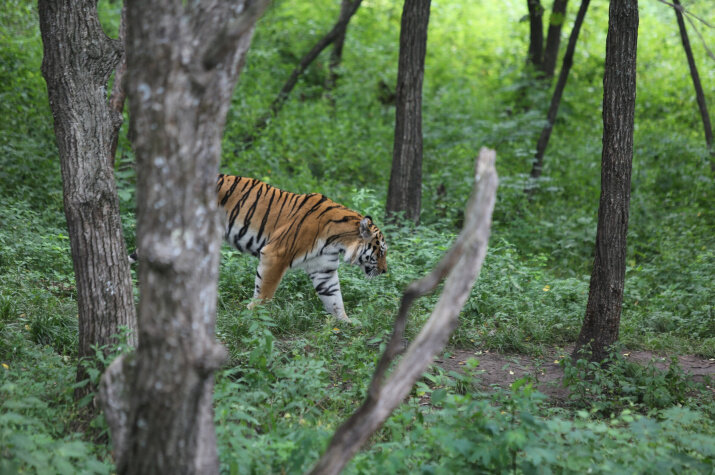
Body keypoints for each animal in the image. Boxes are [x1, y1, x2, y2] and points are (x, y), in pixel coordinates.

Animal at [131, 175, 388, 324]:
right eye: (381, 251)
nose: (385, 271)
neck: (337, 241)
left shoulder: (323, 269)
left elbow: (334, 297)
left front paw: (346, 322)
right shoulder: (277, 254)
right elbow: (265, 291)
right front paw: (252, 314)